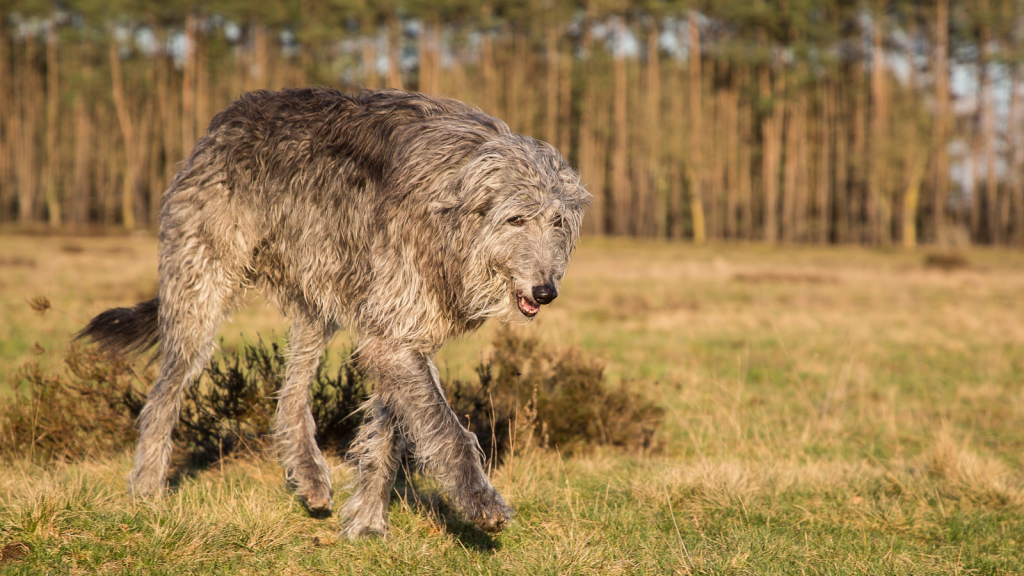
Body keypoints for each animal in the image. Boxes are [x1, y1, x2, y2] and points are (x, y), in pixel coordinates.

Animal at [78, 87, 589, 537]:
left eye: (558, 221)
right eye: (516, 218)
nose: (546, 291)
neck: (450, 215)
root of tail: (221, 122)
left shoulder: (399, 334)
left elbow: (389, 432)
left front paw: (366, 522)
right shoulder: (395, 333)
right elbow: (446, 429)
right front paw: (481, 502)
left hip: (316, 302)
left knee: (290, 394)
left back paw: (308, 475)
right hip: (200, 290)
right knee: (165, 390)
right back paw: (147, 487)